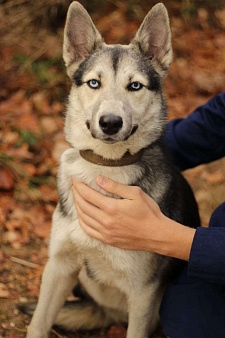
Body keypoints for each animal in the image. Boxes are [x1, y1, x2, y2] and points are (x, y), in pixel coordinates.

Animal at [25, 2, 200, 338]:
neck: (106, 165)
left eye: (135, 86)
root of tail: (107, 313)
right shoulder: (58, 268)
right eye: (94, 83)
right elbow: (38, 322)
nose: (110, 122)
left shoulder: (142, 293)